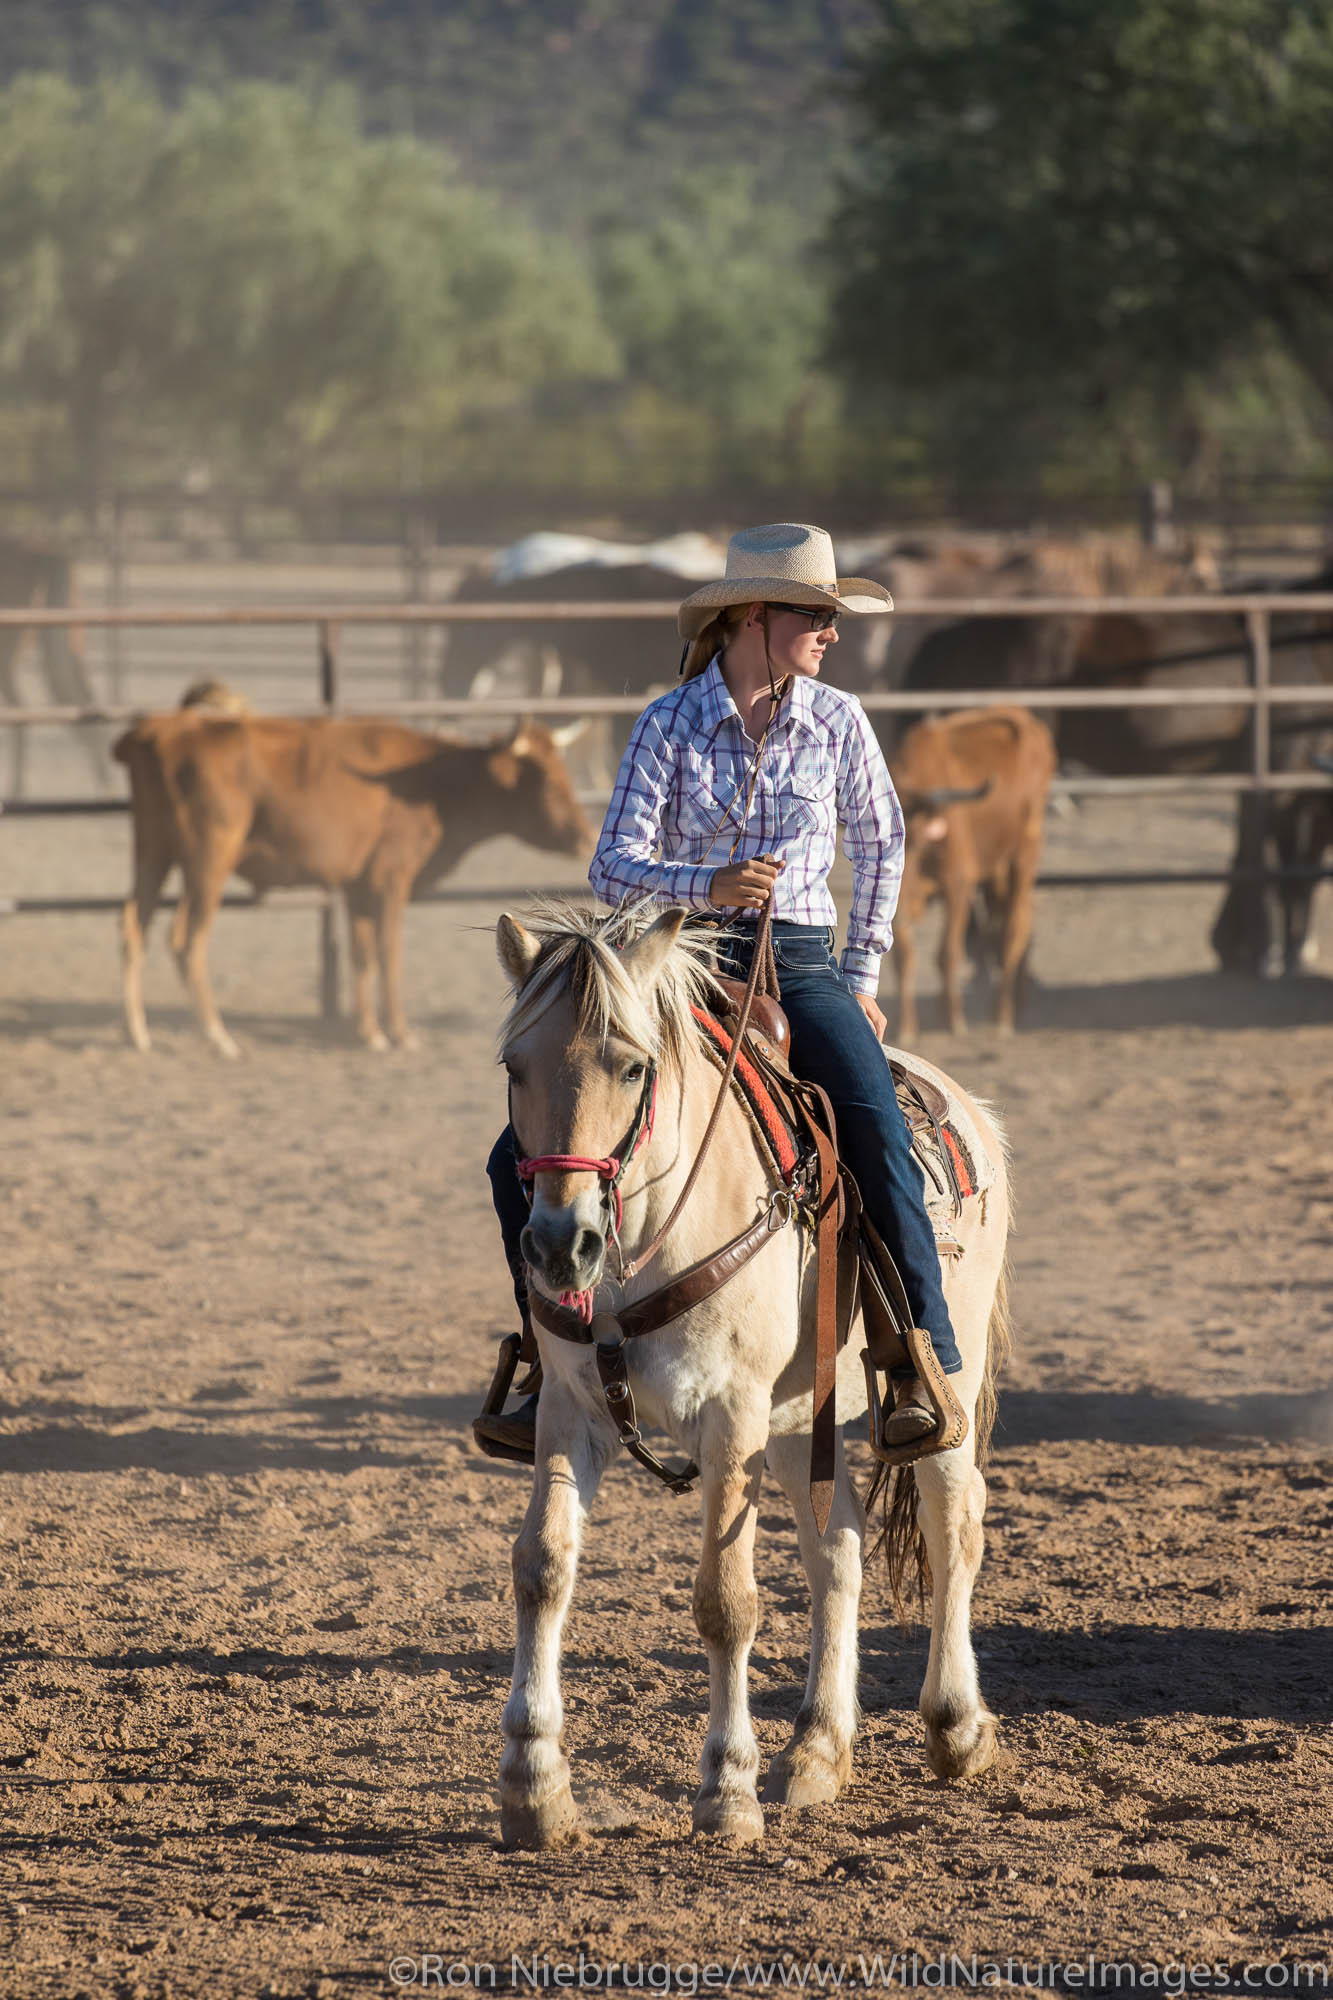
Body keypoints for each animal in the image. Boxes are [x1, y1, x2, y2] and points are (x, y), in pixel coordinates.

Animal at [114, 708, 592, 1056]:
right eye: (544, 779)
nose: (586, 837)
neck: (430, 784)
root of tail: (160, 729)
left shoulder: (359, 889)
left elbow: (362, 956)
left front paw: (368, 1031)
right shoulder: (389, 882)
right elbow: (387, 953)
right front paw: (398, 1032)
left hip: (151, 853)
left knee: (133, 927)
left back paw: (137, 1031)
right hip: (207, 859)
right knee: (186, 940)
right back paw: (216, 1034)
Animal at [496, 904, 1008, 1840]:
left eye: (633, 1066)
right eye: (516, 1066)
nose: (559, 1245)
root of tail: (965, 1108)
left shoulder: (730, 1414)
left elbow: (724, 1600)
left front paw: (725, 1790)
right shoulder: (570, 1410)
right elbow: (542, 1568)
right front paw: (533, 1786)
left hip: (944, 1382)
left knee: (953, 1519)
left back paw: (955, 1724)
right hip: (802, 1415)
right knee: (836, 1550)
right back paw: (816, 1749)